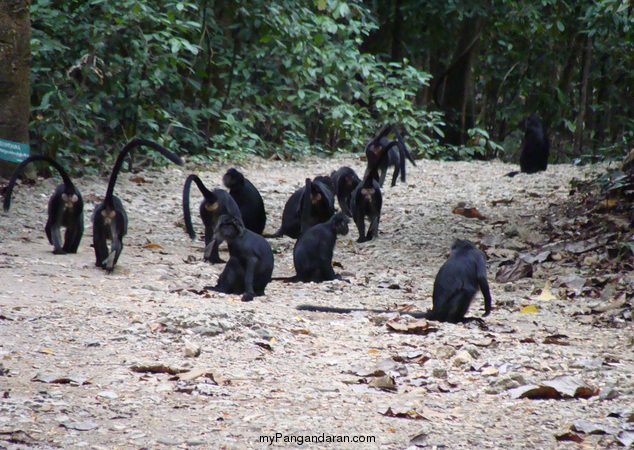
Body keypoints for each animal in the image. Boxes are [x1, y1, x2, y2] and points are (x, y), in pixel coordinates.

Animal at [92, 138, 184, 270]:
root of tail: (108, 204)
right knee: (113, 241)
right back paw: (108, 263)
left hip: (107, 218)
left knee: (109, 240)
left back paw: (107, 263)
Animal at [294, 239, 492, 324]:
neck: (464, 249)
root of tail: (435, 311)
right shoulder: (479, 255)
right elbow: (482, 279)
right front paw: (488, 310)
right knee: (467, 291)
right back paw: (457, 320)